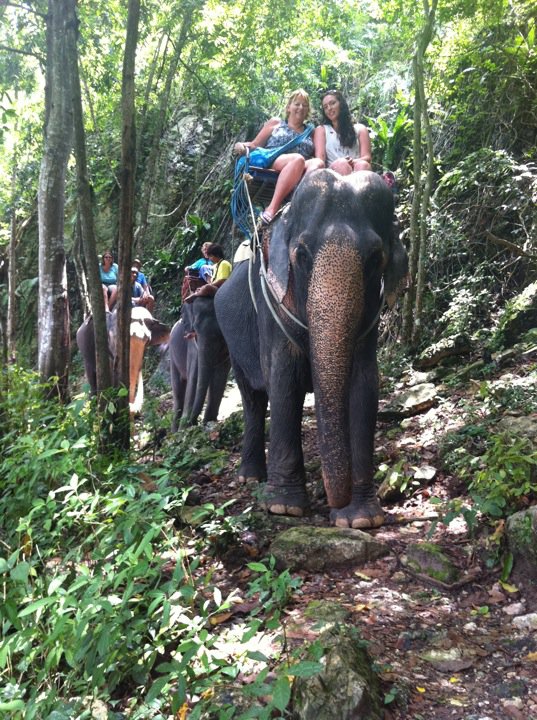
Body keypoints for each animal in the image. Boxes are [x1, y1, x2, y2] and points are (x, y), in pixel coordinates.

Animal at [170, 290, 230, 430]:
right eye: (196, 329)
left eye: (221, 331)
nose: (193, 422)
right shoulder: (193, 346)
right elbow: (194, 377)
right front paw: (183, 429)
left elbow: (220, 375)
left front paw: (209, 421)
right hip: (172, 358)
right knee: (178, 393)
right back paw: (174, 432)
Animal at [214, 169, 406, 528]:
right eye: (301, 255)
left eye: (375, 259)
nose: (334, 501)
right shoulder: (272, 306)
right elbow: (283, 381)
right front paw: (285, 507)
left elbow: (365, 386)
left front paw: (361, 519)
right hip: (233, 343)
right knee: (253, 400)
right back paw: (250, 477)